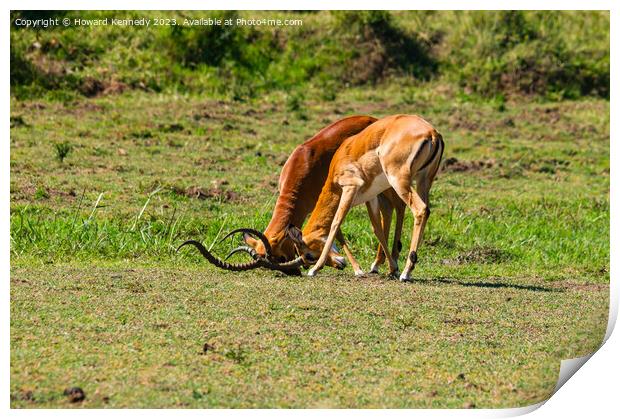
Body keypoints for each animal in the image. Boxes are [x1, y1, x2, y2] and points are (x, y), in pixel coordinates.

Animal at [178, 116, 406, 278]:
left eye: (279, 256)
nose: (293, 271)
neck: (303, 167)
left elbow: (337, 230)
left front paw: (357, 269)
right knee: (387, 210)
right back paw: (381, 263)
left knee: (396, 207)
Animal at [284, 113, 444, 280]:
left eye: (309, 256)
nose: (340, 265)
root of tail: (432, 133)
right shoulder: (371, 197)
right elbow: (377, 229)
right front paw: (390, 268)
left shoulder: (350, 187)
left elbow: (336, 223)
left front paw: (315, 269)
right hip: (423, 181)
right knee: (421, 210)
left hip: (399, 181)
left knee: (420, 210)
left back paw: (406, 272)